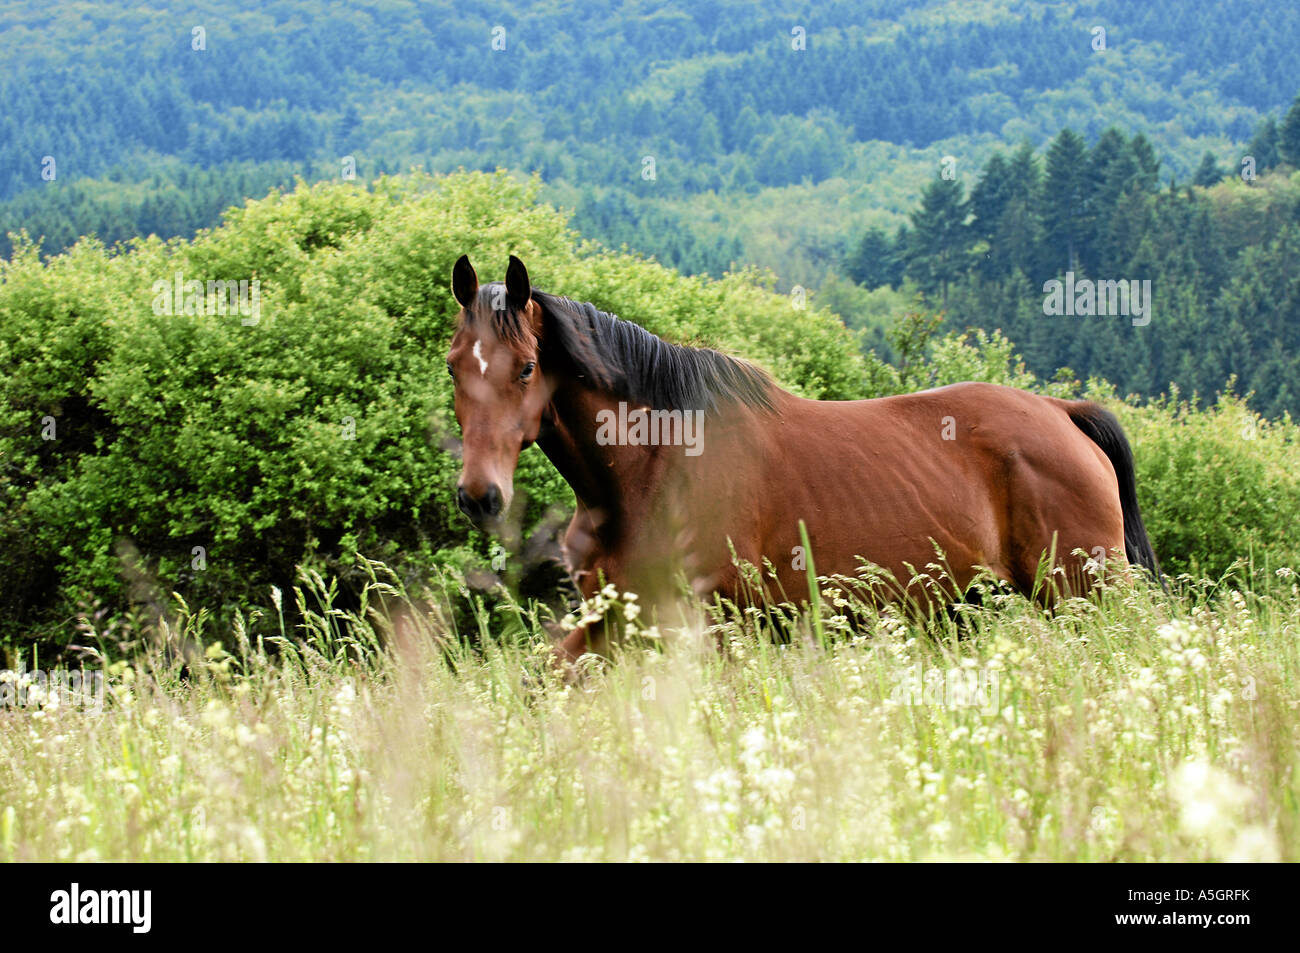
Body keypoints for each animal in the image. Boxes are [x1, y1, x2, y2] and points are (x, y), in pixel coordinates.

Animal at [445, 255, 1161, 667]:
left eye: (527, 367)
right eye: (454, 365)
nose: (481, 495)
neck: (653, 464)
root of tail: (1062, 412)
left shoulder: (710, 623)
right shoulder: (615, 617)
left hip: (1089, 590)